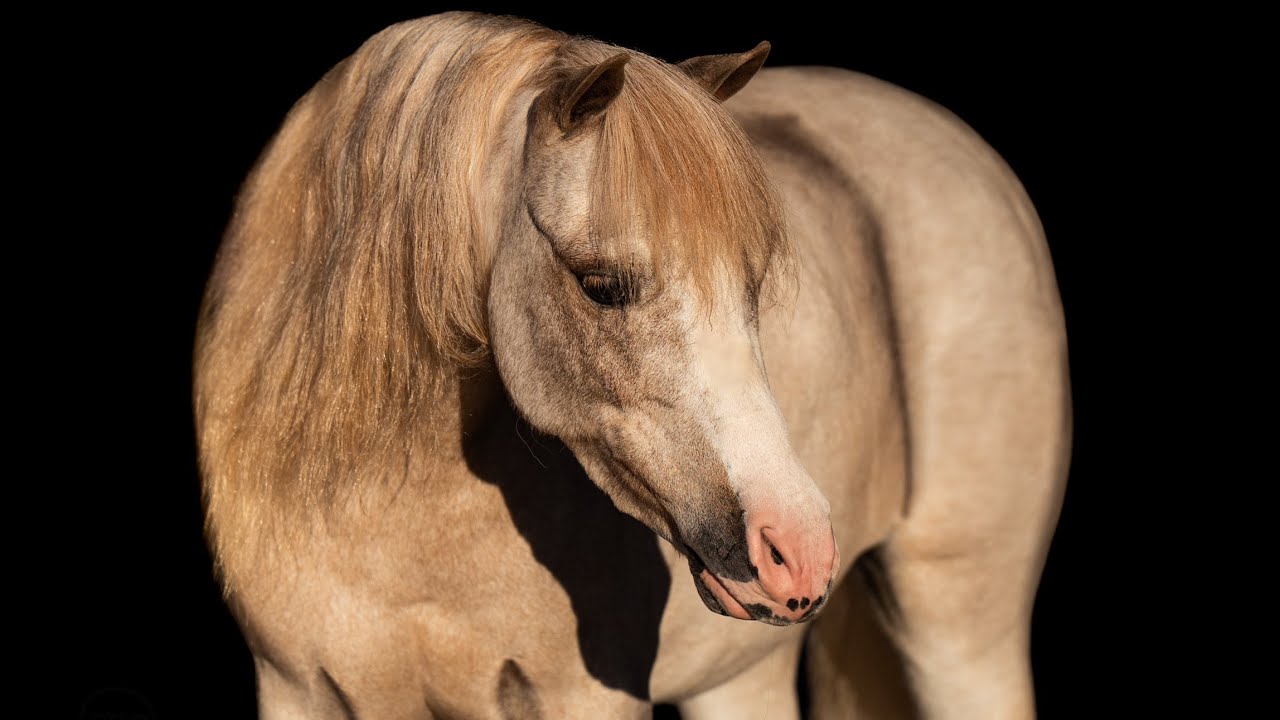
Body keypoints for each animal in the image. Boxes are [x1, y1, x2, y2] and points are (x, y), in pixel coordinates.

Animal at [194, 11, 1070, 719]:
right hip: (742, 671)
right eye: (601, 285)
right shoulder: (299, 691)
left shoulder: (587, 696)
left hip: (961, 633)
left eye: (753, 283)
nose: (797, 548)